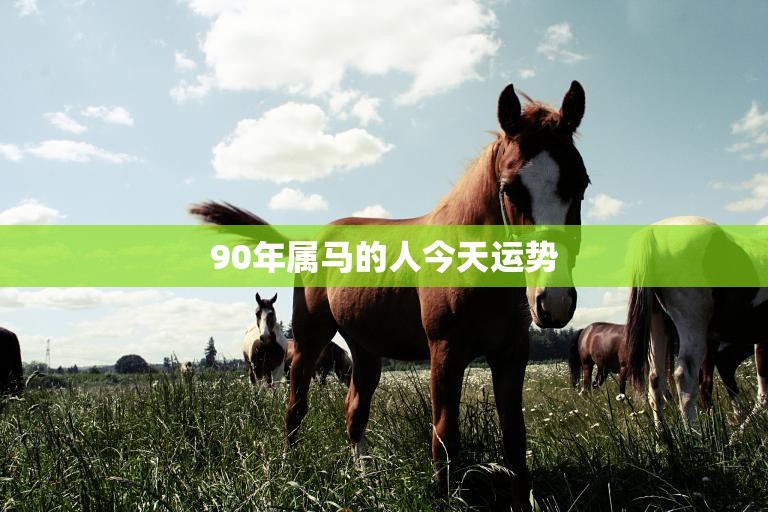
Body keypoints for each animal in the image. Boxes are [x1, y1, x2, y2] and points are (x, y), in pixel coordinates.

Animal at [192, 80, 589, 508]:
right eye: (510, 189)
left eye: (581, 184)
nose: (554, 301)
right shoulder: (445, 350)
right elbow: (445, 437)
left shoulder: (511, 352)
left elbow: (514, 438)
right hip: (311, 337)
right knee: (296, 405)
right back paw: (288, 472)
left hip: (365, 348)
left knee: (354, 411)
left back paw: (367, 481)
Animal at [626, 216, 768, 434]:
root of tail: (654, 232)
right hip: (692, 325)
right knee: (685, 377)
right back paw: (695, 436)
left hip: (659, 325)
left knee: (656, 381)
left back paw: (663, 438)